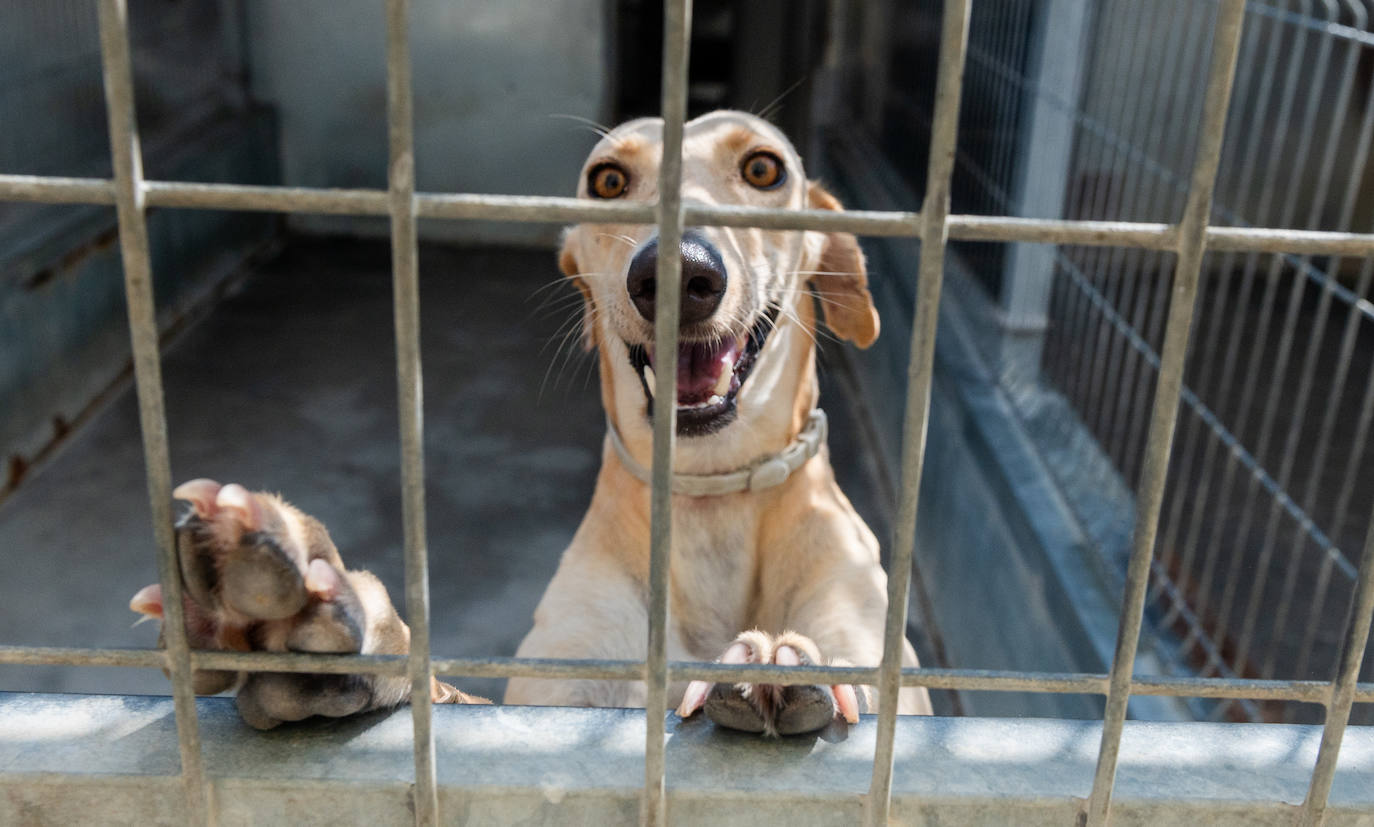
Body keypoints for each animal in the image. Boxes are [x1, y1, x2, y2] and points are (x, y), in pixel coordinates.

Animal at [131, 111, 934, 736]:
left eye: (764, 168)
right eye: (608, 180)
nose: (678, 272)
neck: (710, 502)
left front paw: (782, 663)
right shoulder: (553, 698)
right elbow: (449, 696)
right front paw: (341, 635)